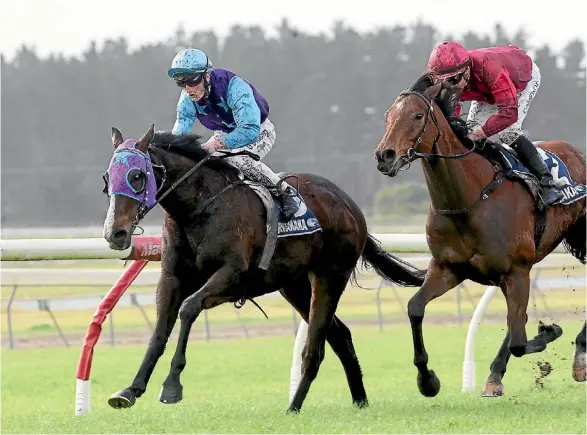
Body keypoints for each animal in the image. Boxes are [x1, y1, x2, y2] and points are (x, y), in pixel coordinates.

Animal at [102, 124, 428, 414]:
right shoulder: (172, 278)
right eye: (107, 177)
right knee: (340, 335)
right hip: (295, 286)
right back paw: (359, 400)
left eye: (136, 176)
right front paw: (130, 390)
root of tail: (349, 204)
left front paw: (171, 385)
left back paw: (294, 406)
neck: (198, 207)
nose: (115, 233)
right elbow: (159, 332)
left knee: (315, 347)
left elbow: (189, 308)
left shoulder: (232, 276)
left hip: (331, 276)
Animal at [374, 76, 584, 398]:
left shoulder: (516, 270)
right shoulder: (448, 268)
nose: (384, 156)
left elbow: (520, 339)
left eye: (417, 115)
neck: (469, 199)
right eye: (387, 116)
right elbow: (415, 308)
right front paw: (427, 379)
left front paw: (551, 329)